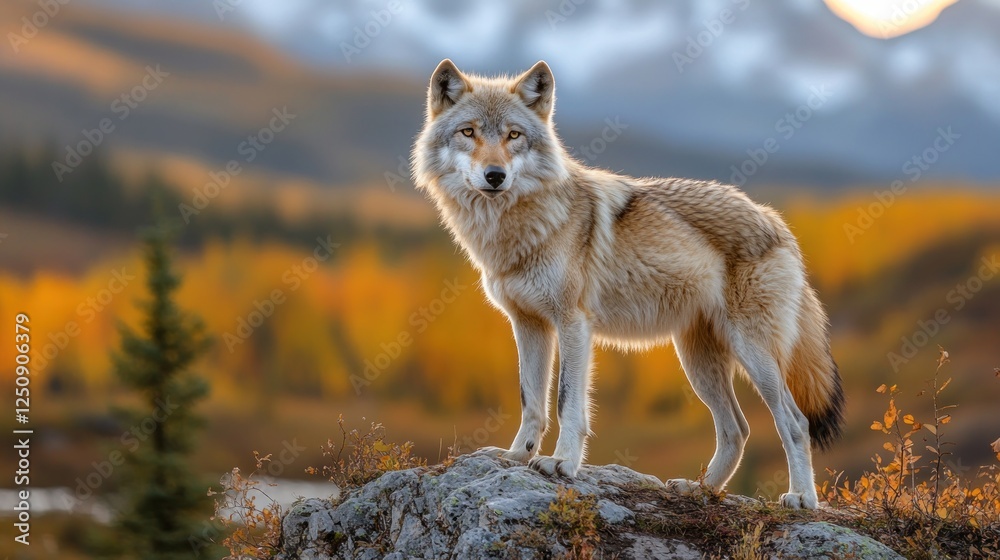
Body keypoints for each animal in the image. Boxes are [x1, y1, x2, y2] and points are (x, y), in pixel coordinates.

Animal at [411, 60, 844, 509]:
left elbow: (567, 402)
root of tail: (777, 222)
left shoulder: (573, 324)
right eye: (469, 132)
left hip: (753, 356)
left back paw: (802, 498)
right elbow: (531, 401)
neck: (517, 231)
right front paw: (516, 457)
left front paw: (561, 463)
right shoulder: (528, 325)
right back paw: (701, 489)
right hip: (698, 363)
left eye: (513, 135)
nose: (494, 176)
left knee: (794, 422)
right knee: (736, 429)